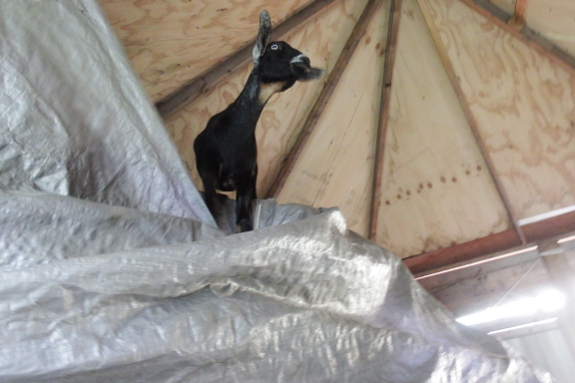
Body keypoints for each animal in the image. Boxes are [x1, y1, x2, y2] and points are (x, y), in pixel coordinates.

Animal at [195, 9, 324, 232]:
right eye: (275, 46)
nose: (305, 60)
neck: (231, 138)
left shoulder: (246, 179)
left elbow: (244, 223)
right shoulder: (208, 173)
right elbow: (211, 211)